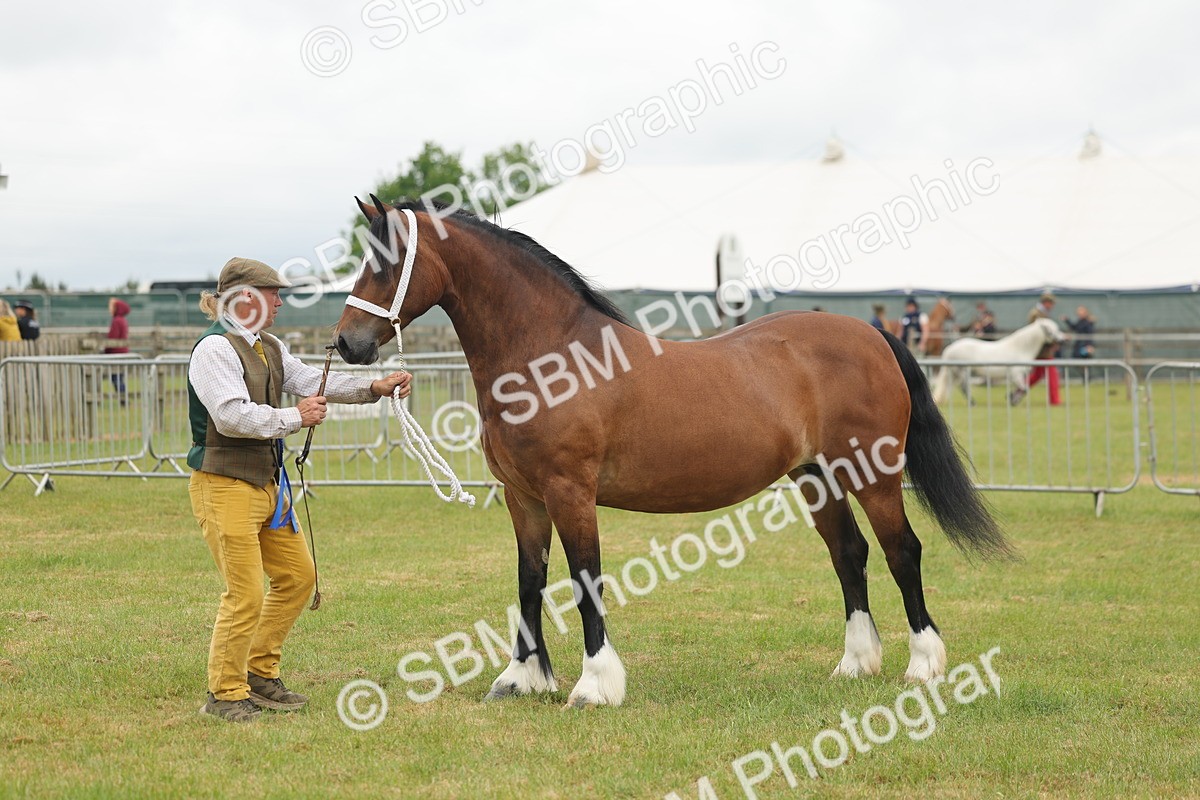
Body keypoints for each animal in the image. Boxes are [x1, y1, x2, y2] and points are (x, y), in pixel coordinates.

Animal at [334, 197, 1012, 708]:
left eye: (386, 264)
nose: (347, 344)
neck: (550, 357)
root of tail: (870, 332)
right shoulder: (523, 497)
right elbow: (530, 581)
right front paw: (521, 679)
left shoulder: (570, 492)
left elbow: (584, 579)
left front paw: (595, 686)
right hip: (817, 476)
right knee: (850, 554)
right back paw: (855, 664)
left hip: (874, 474)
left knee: (902, 552)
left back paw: (923, 665)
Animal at [931, 318, 1066, 406]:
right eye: (1052, 330)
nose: (1062, 340)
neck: (1020, 348)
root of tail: (949, 349)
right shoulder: (1016, 374)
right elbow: (1024, 389)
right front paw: (1012, 400)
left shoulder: (1017, 376)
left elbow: (1023, 387)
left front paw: (1010, 398)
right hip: (962, 372)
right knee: (964, 387)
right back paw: (973, 403)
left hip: (955, 373)